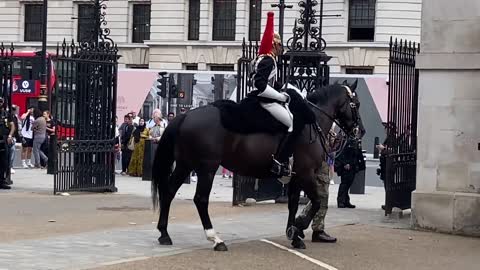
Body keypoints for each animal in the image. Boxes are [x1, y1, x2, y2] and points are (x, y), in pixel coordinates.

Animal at [152, 78, 362, 251]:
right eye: (357, 104)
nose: (360, 131)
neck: (313, 122)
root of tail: (185, 116)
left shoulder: (295, 176)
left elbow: (293, 203)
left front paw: (294, 234)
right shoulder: (306, 173)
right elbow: (317, 201)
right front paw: (300, 227)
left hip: (184, 165)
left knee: (169, 192)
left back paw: (164, 234)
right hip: (207, 168)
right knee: (200, 199)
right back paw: (216, 239)